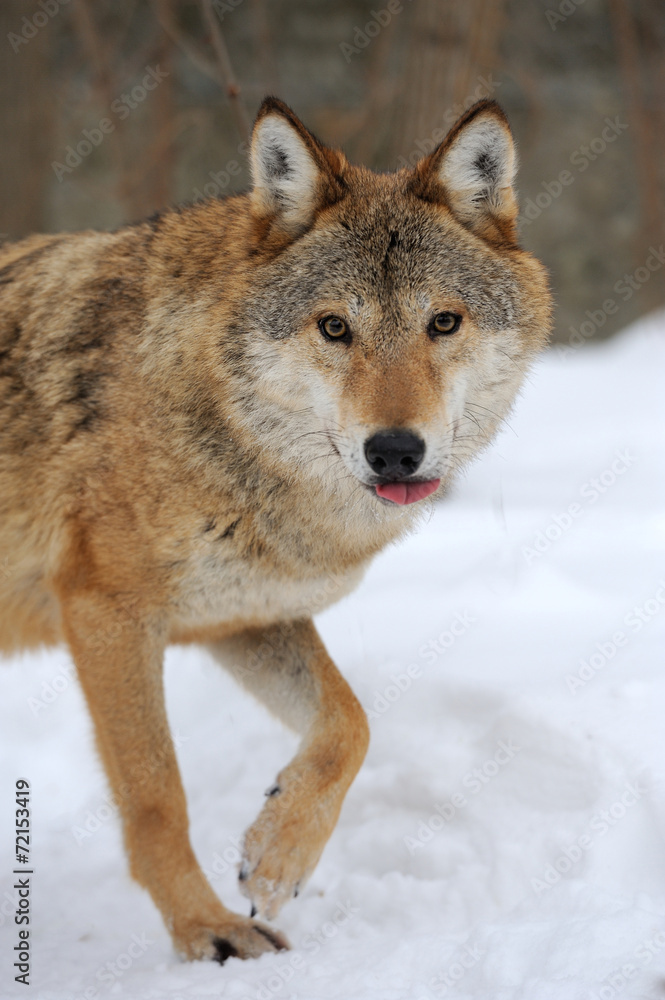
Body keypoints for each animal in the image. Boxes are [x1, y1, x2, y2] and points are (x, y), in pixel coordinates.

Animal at [0, 97, 551, 962]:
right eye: (333, 328)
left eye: (442, 322)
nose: (395, 451)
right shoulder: (106, 613)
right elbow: (157, 796)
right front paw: (207, 932)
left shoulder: (240, 616)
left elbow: (349, 724)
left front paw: (277, 854)